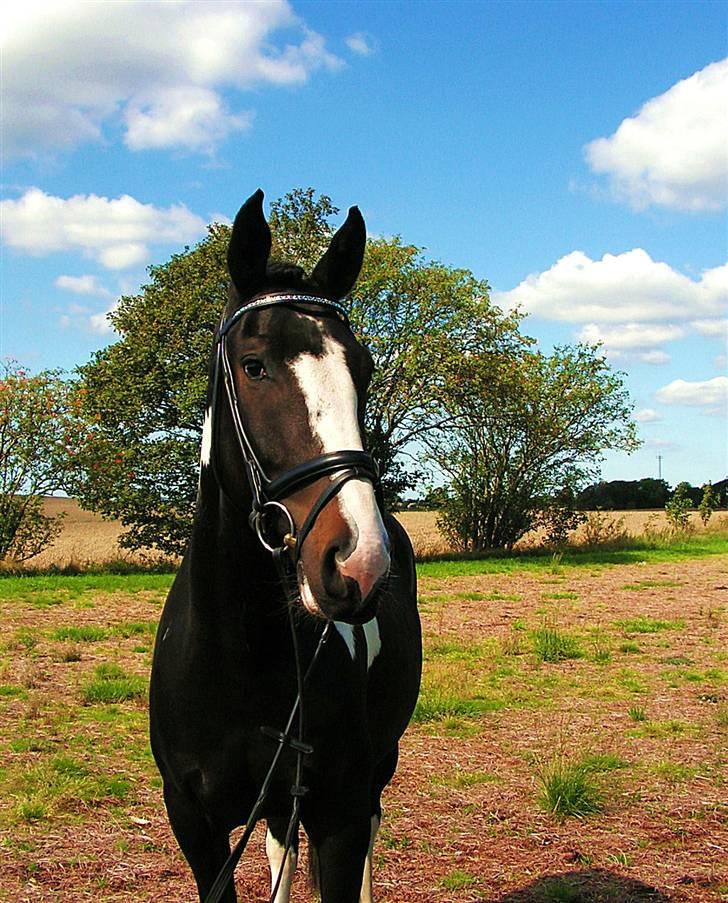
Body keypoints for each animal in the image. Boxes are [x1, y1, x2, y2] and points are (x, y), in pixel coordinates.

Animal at [148, 192, 420, 903]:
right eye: (254, 365)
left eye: (363, 368)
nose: (359, 562)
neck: (243, 655)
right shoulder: (195, 823)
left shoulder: (340, 814)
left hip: (375, 770)